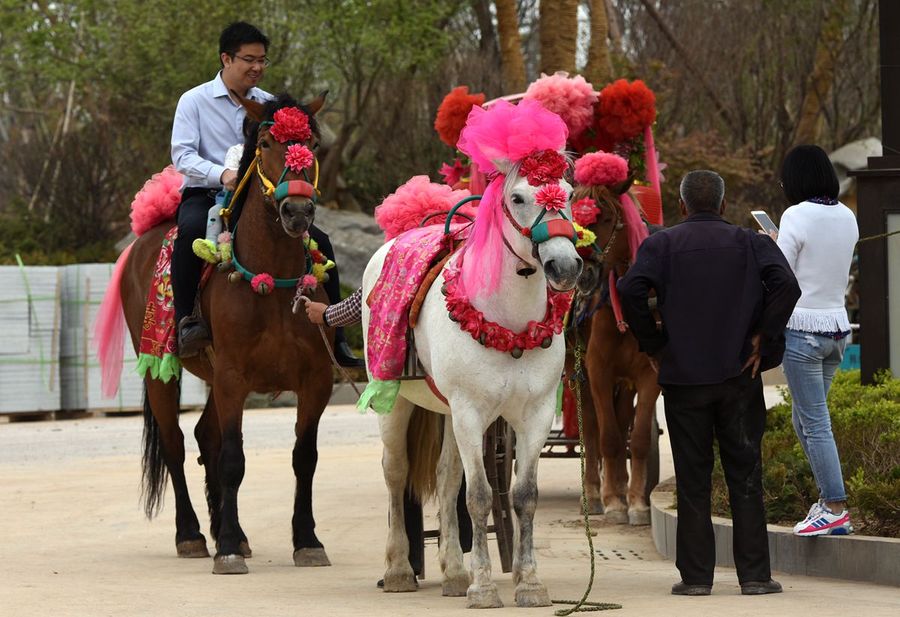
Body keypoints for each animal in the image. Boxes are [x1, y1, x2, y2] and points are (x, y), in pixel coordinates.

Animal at [116, 91, 332, 572]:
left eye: (313, 144)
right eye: (266, 143)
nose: (297, 211)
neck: (272, 283)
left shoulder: (315, 381)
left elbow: (305, 458)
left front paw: (307, 540)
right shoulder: (234, 377)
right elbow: (233, 458)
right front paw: (228, 548)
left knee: (204, 437)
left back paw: (226, 531)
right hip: (161, 370)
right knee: (177, 445)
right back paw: (194, 535)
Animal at [364, 155, 584, 608]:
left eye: (570, 194)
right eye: (517, 198)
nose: (565, 266)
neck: (508, 323)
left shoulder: (534, 416)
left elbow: (524, 496)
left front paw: (528, 582)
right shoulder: (470, 413)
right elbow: (479, 497)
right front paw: (483, 587)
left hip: (447, 412)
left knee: (448, 477)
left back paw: (453, 572)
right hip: (396, 403)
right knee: (395, 472)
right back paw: (398, 570)